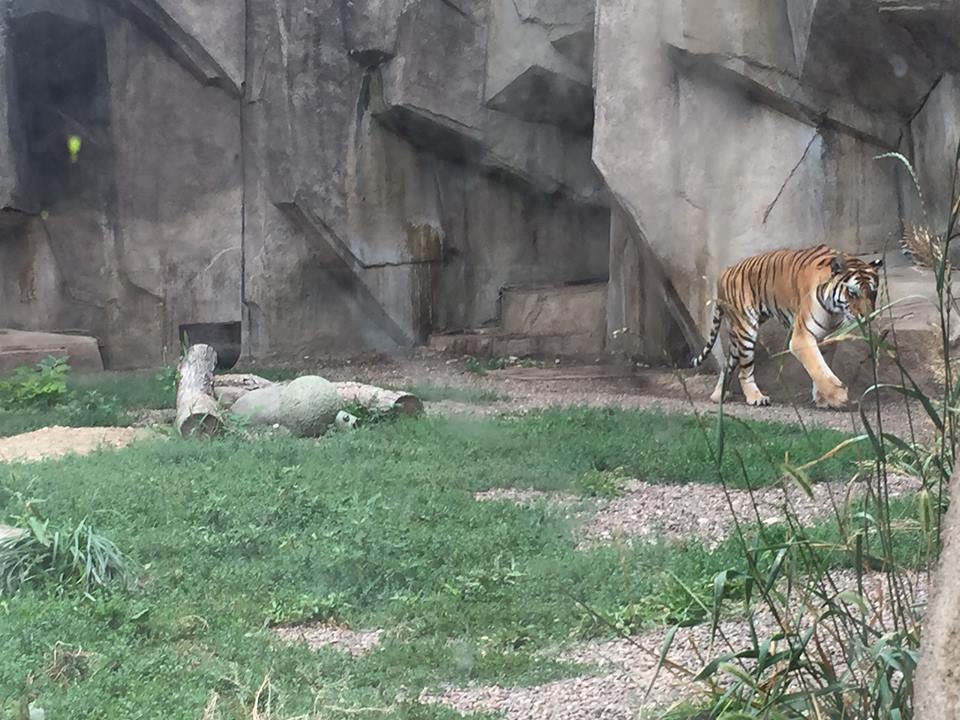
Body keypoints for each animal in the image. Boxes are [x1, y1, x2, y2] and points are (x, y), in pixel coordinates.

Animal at [690, 244, 883, 408]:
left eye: (873, 292)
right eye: (852, 293)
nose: (868, 316)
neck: (834, 310)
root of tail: (726, 271)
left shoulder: (828, 337)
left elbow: (822, 364)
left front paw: (823, 398)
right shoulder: (801, 337)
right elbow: (817, 365)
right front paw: (837, 395)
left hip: (737, 333)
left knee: (727, 364)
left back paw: (718, 396)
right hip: (746, 331)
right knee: (744, 372)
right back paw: (756, 398)